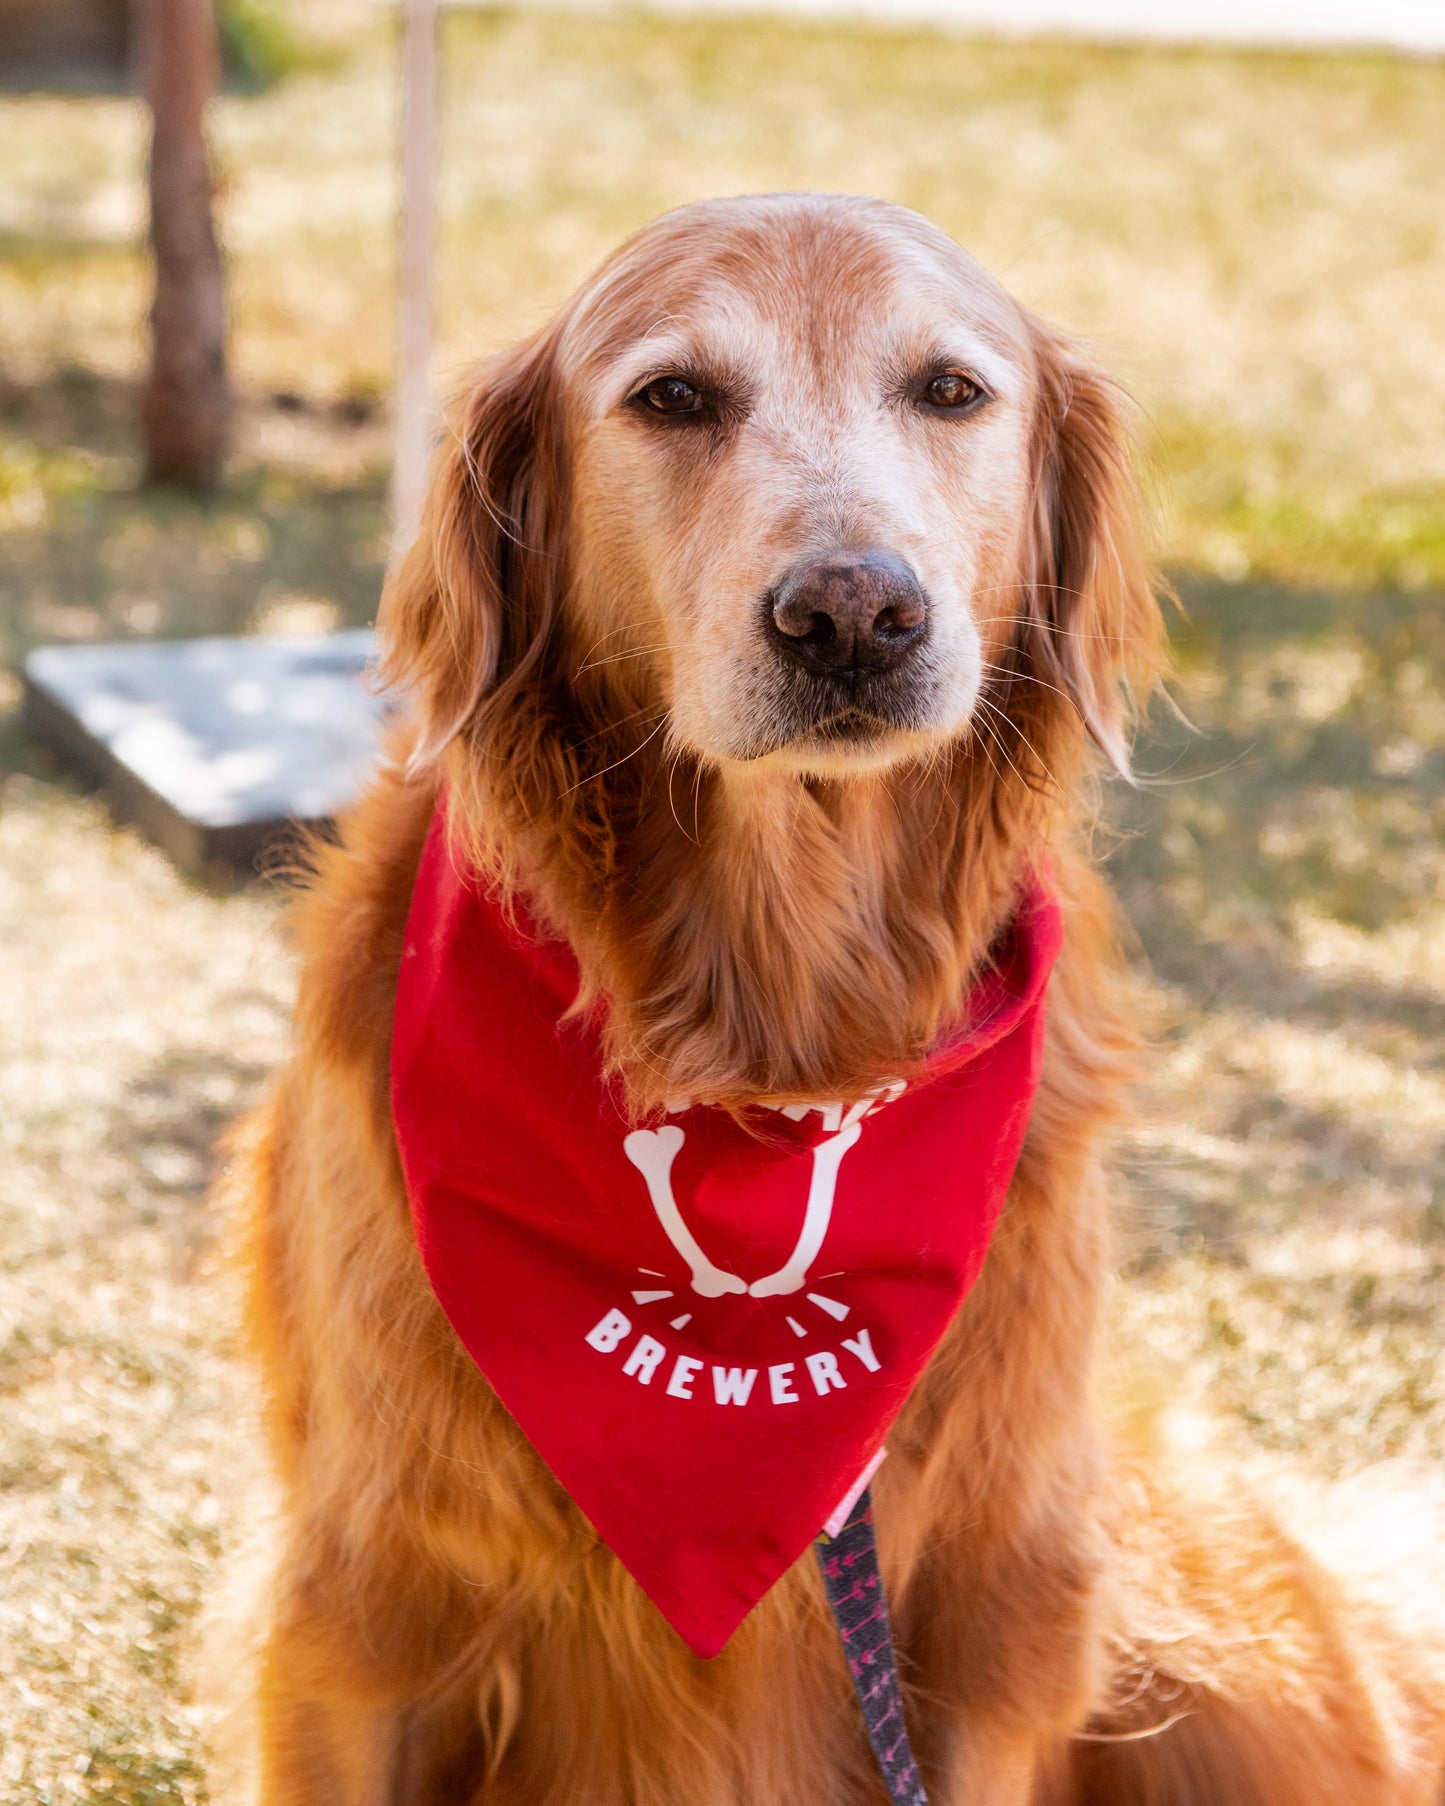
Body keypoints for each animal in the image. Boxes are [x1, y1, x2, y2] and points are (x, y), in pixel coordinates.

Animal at [231, 190, 1445, 1798]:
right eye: (673, 397)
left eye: (949, 389)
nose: (854, 613)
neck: (772, 1051)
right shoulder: (361, 1616)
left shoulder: (988, 1625)